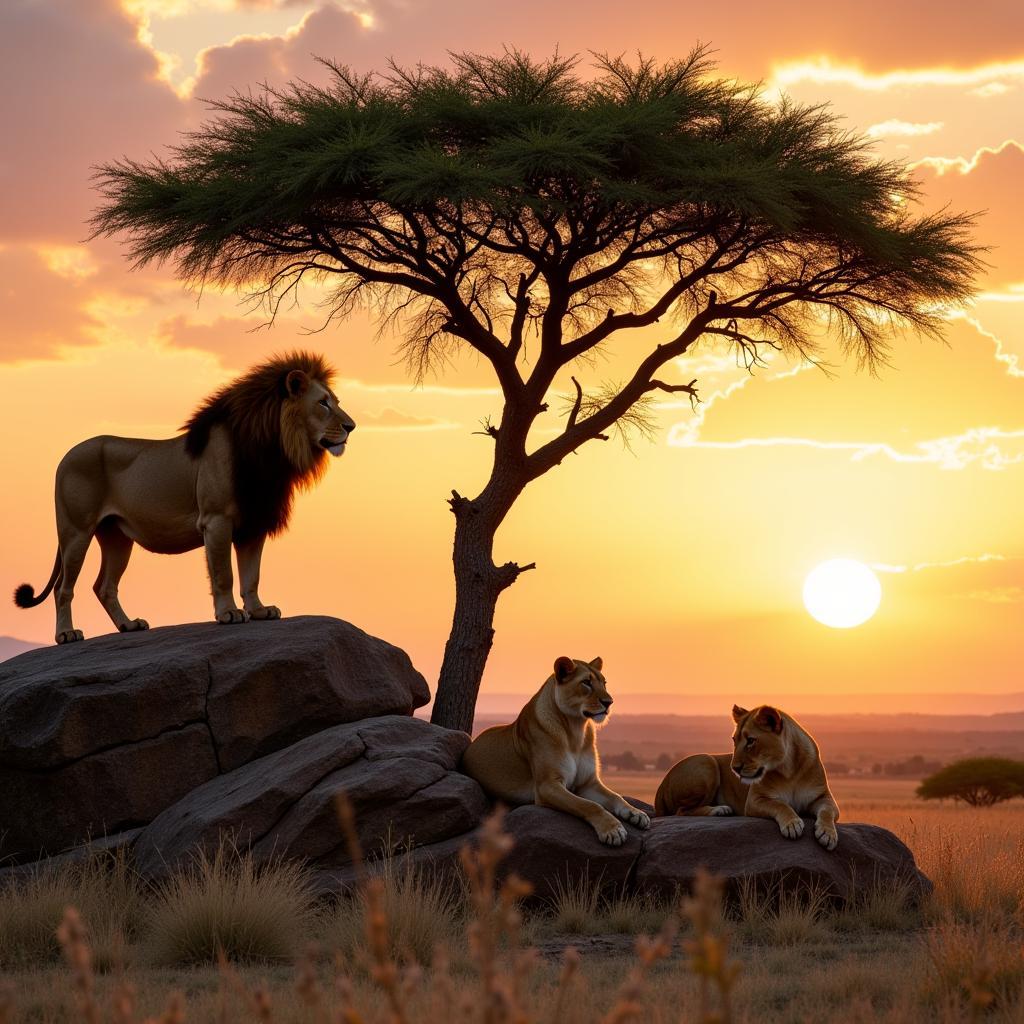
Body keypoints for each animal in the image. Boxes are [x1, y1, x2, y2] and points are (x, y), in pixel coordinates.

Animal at [11, 350, 356, 638]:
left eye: (335, 400)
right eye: (323, 403)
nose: (351, 426)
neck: (273, 451)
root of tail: (65, 457)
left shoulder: (253, 524)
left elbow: (252, 575)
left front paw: (259, 611)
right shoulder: (216, 520)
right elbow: (224, 574)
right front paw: (229, 614)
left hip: (117, 537)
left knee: (104, 586)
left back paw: (129, 625)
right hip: (76, 532)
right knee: (63, 588)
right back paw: (66, 635)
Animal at [462, 655, 651, 847]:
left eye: (604, 683)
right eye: (586, 683)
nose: (609, 702)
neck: (576, 731)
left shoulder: (588, 783)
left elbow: (616, 796)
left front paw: (636, 813)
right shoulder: (547, 786)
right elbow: (589, 805)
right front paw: (612, 830)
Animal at [655, 700, 839, 851]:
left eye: (750, 741)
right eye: (734, 740)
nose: (734, 768)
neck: (789, 769)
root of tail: (662, 784)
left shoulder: (823, 797)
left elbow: (827, 812)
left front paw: (828, 834)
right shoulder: (754, 801)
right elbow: (780, 805)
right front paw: (792, 824)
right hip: (707, 761)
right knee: (681, 811)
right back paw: (720, 809)